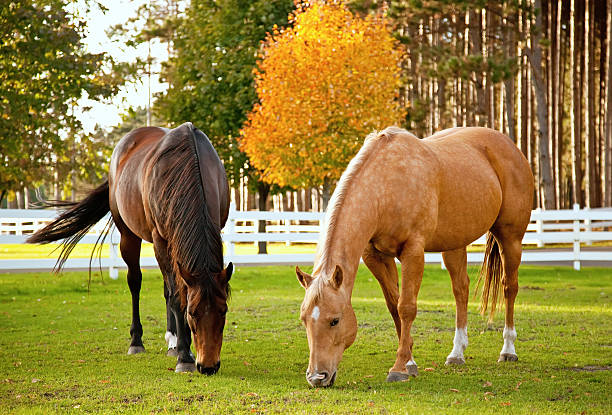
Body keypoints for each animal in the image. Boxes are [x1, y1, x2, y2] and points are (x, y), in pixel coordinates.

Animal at [26, 122, 233, 376]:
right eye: (192, 313)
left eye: (223, 311)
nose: (208, 366)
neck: (188, 163)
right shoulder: (161, 239)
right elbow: (177, 297)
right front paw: (184, 357)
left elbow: (175, 292)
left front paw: (181, 348)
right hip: (129, 236)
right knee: (136, 282)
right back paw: (137, 342)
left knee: (167, 287)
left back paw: (172, 341)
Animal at [298, 126, 532, 386]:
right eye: (304, 319)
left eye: (335, 320)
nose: (317, 377)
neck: (385, 186)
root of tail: (510, 146)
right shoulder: (375, 256)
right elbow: (394, 305)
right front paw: (410, 361)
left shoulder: (413, 251)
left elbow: (406, 307)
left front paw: (399, 367)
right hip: (454, 245)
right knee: (461, 290)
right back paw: (457, 354)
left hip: (510, 238)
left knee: (509, 287)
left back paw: (508, 350)